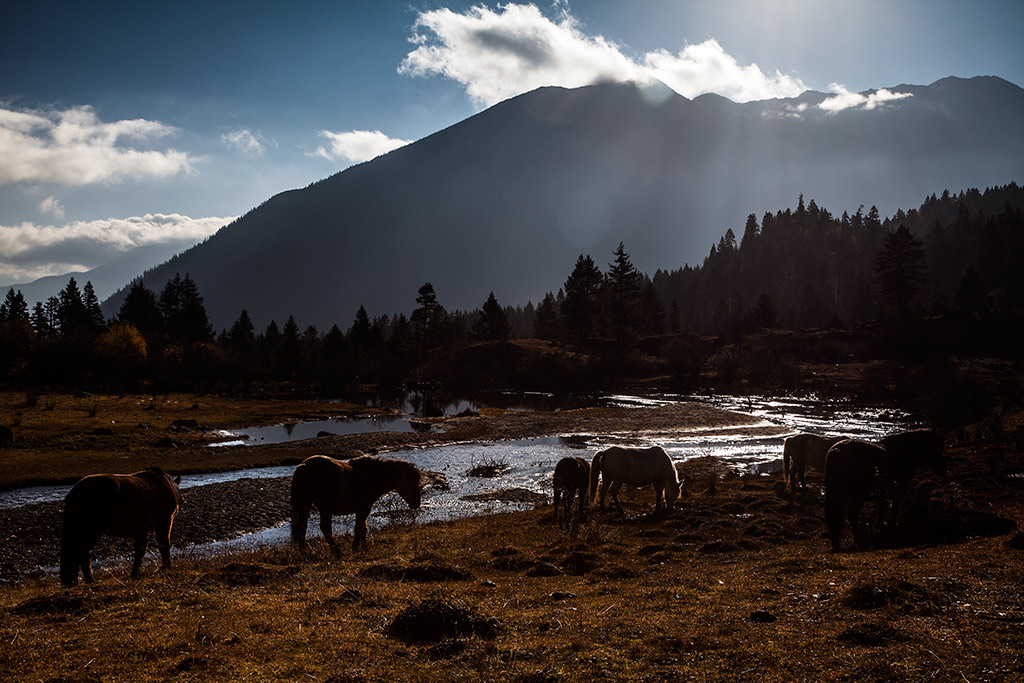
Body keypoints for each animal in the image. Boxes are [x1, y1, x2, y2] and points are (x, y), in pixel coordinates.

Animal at [290, 454, 421, 557]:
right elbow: (359, 528)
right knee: (325, 528)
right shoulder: (364, 508)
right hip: (324, 508)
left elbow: (363, 528)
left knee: (302, 527)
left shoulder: (362, 509)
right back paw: (336, 552)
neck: (371, 476)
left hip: (305, 504)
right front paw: (356, 548)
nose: (417, 503)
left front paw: (364, 548)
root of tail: (305, 466)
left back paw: (304, 551)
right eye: (411, 481)